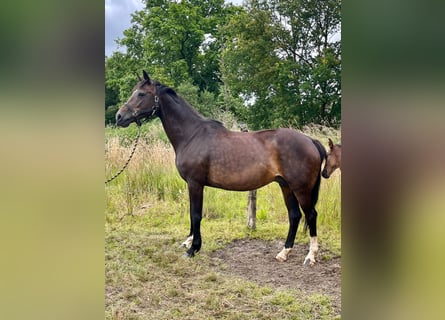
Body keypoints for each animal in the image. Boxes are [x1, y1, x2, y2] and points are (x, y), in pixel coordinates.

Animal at [116, 71, 326, 266]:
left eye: (141, 94)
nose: (119, 117)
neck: (192, 135)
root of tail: (310, 140)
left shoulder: (195, 183)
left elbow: (196, 214)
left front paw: (193, 249)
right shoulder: (192, 185)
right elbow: (192, 212)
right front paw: (188, 241)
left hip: (301, 189)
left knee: (311, 215)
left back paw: (310, 256)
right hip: (286, 186)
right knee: (295, 215)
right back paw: (284, 252)